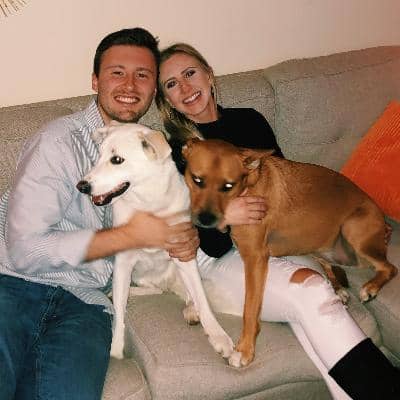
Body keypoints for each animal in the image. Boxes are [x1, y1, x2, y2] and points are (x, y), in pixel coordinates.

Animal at [76, 122, 234, 360]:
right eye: (99, 154)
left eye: (117, 160)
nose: (81, 186)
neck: (149, 203)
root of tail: (166, 283)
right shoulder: (123, 263)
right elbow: (119, 316)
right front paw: (116, 349)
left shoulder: (184, 253)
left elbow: (203, 302)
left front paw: (220, 337)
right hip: (137, 276)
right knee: (148, 291)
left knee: (190, 294)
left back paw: (191, 310)